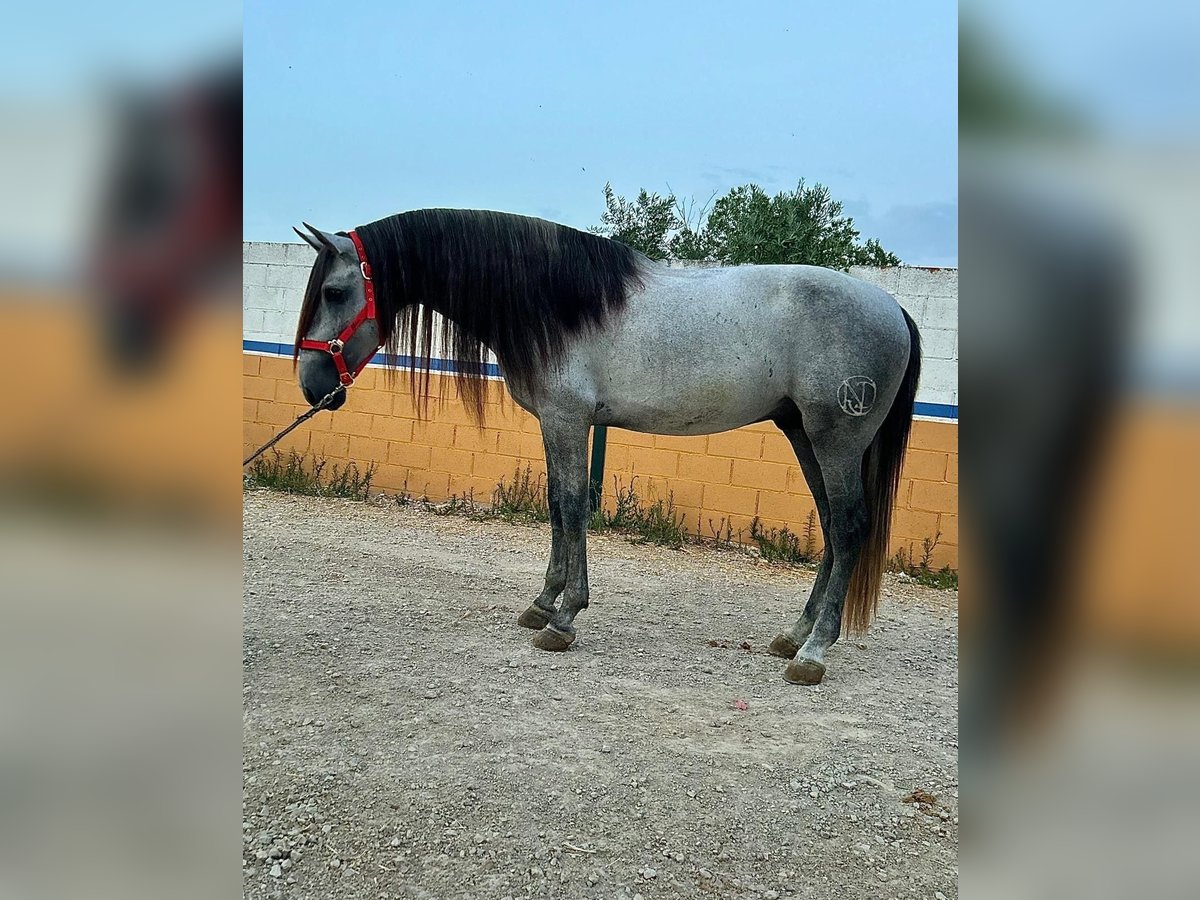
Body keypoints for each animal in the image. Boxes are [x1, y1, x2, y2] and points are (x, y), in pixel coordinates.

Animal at [295, 210, 921, 681]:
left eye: (333, 290)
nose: (310, 384)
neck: (554, 301)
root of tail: (892, 307)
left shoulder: (568, 421)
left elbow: (573, 507)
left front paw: (565, 618)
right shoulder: (556, 424)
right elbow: (555, 505)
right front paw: (543, 603)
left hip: (836, 439)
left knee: (848, 527)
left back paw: (813, 653)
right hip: (804, 435)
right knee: (833, 525)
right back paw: (795, 636)